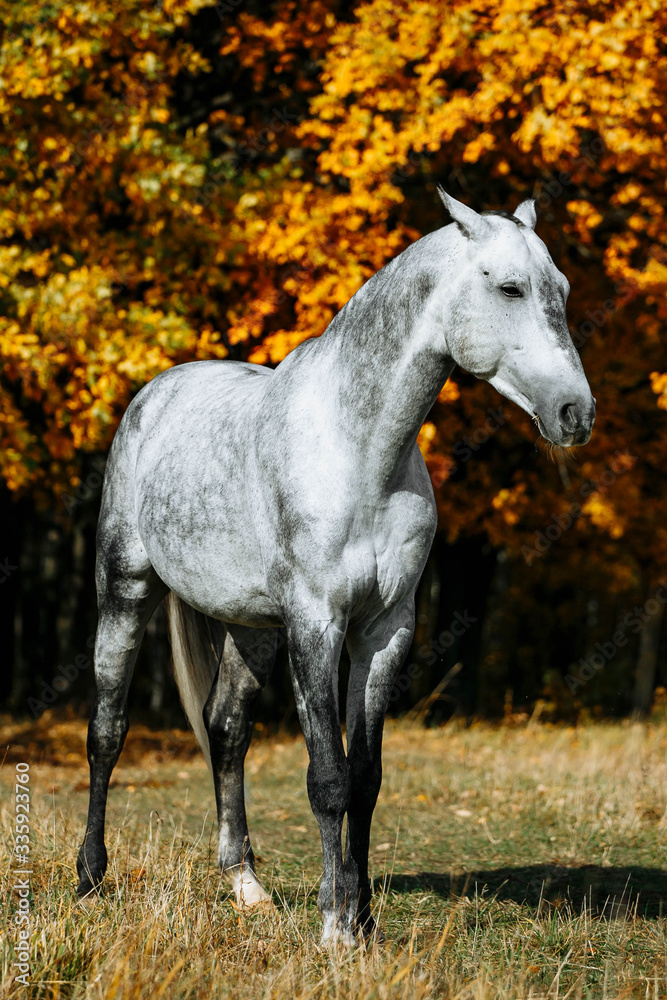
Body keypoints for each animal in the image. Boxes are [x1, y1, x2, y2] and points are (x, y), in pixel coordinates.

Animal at [76, 189, 595, 945]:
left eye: (562, 288)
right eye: (509, 287)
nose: (575, 413)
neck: (359, 451)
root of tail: (155, 396)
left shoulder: (384, 631)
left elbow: (365, 778)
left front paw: (365, 919)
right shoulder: (317, 624)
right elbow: (327, 776)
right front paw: (333, 927)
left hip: (253, 629)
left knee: (225, 730)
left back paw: (246, 887)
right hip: (126, 591)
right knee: (107, 732)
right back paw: (89, 879)